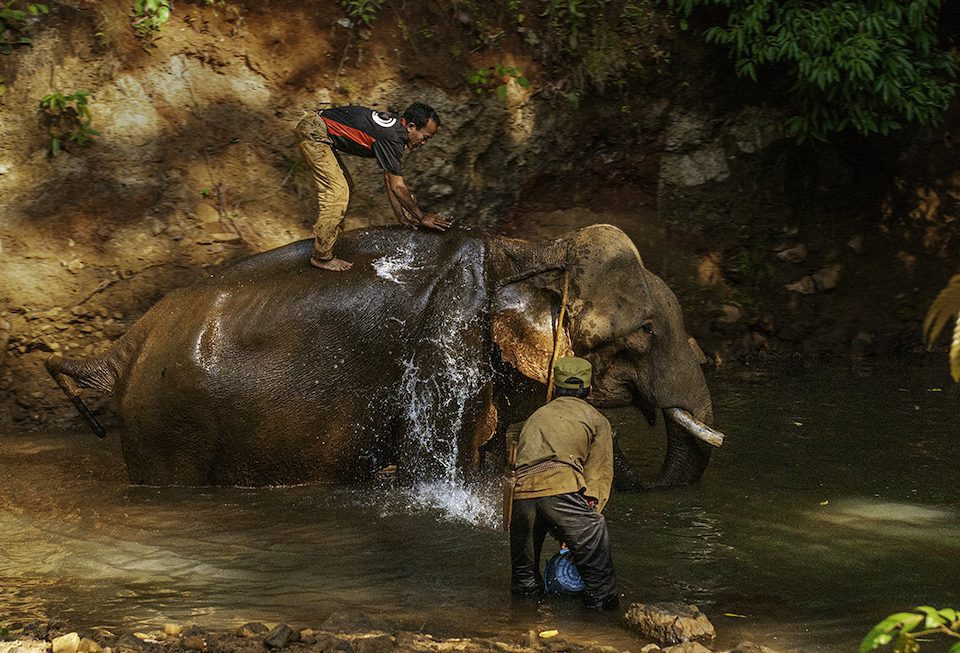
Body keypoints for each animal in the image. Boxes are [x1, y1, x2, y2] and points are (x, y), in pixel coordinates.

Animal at [46, 224, 724, 488]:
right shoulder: (446, 342)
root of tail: (123, 348)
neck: (522, 246)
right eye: (644, 333)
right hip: (169, 425)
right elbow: (437, 471)